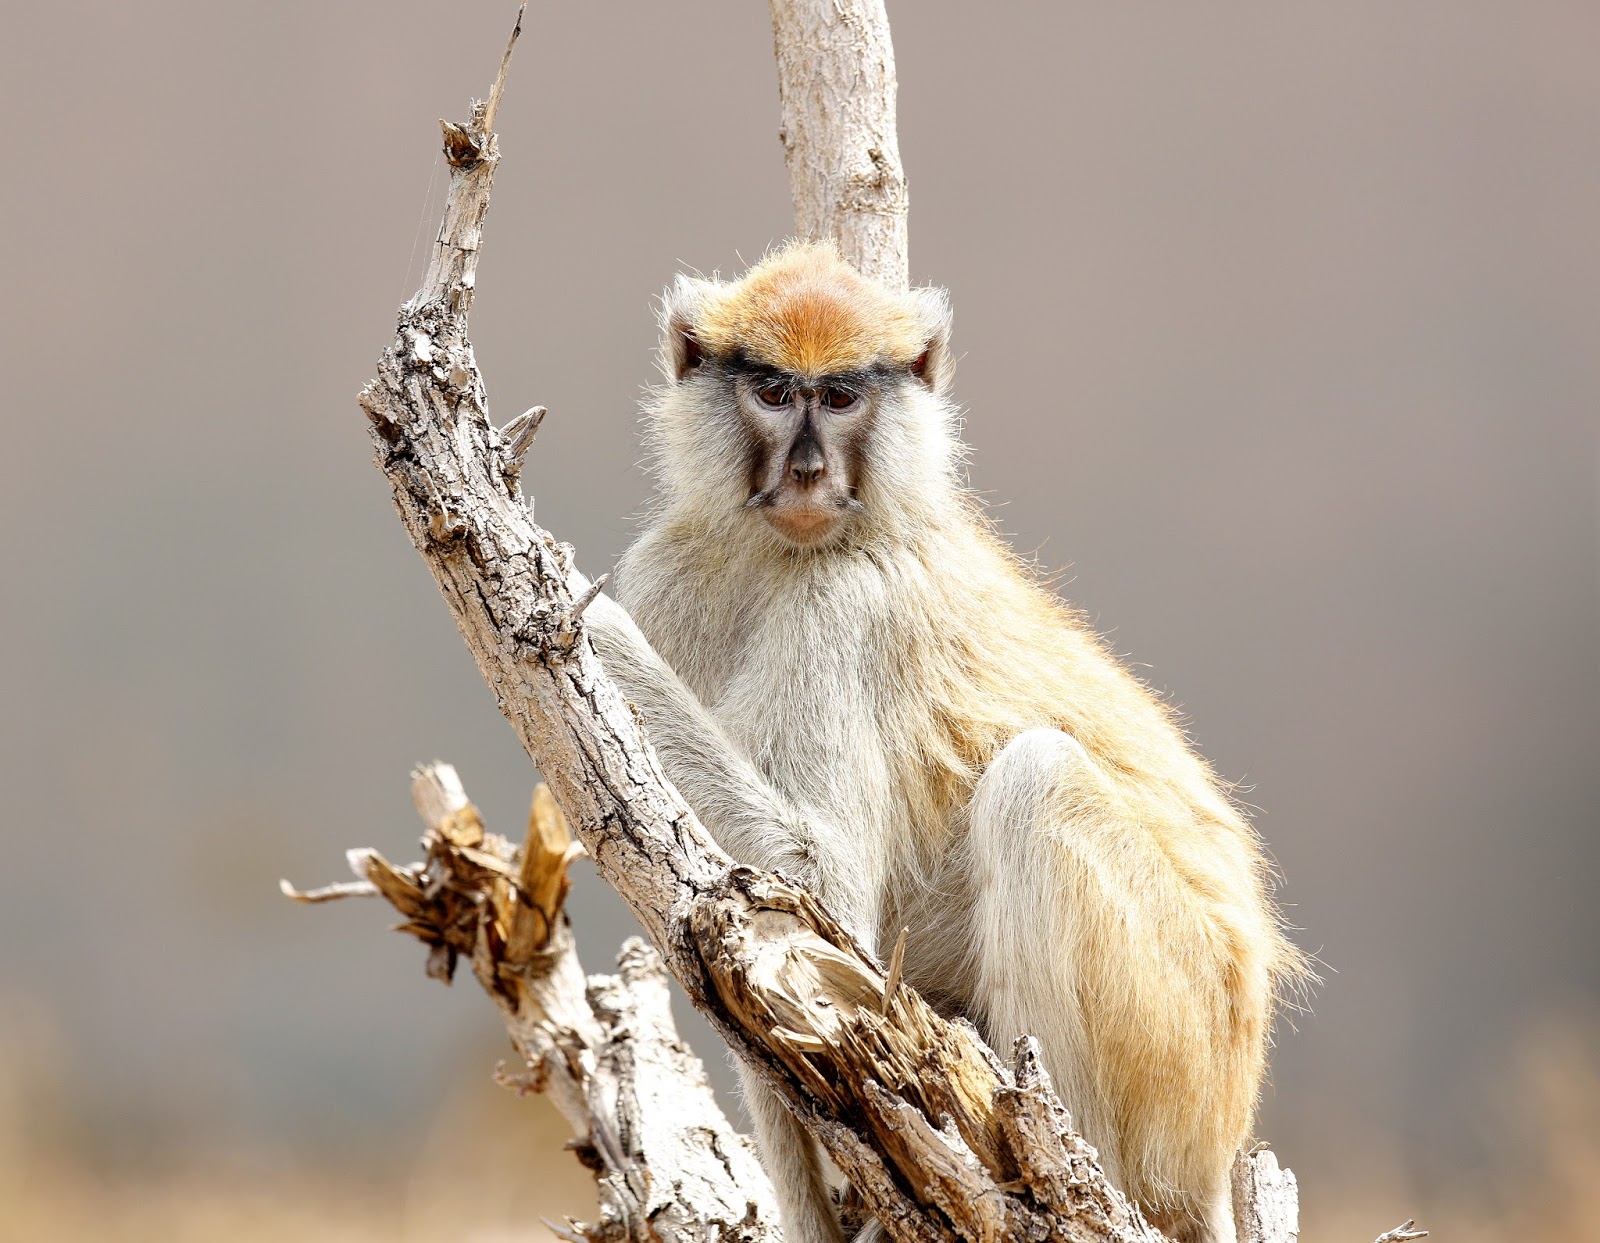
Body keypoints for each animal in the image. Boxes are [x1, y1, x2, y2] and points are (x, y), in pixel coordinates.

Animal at [580, 240, 1305, 1243]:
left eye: (842, 397)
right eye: (773, 390)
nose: (808, 472)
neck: (780, 550)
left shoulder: (850, 603)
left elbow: (816, 880)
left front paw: (580, 613)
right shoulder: (672, 575)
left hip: (1182, 1045)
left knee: (1035, 781)